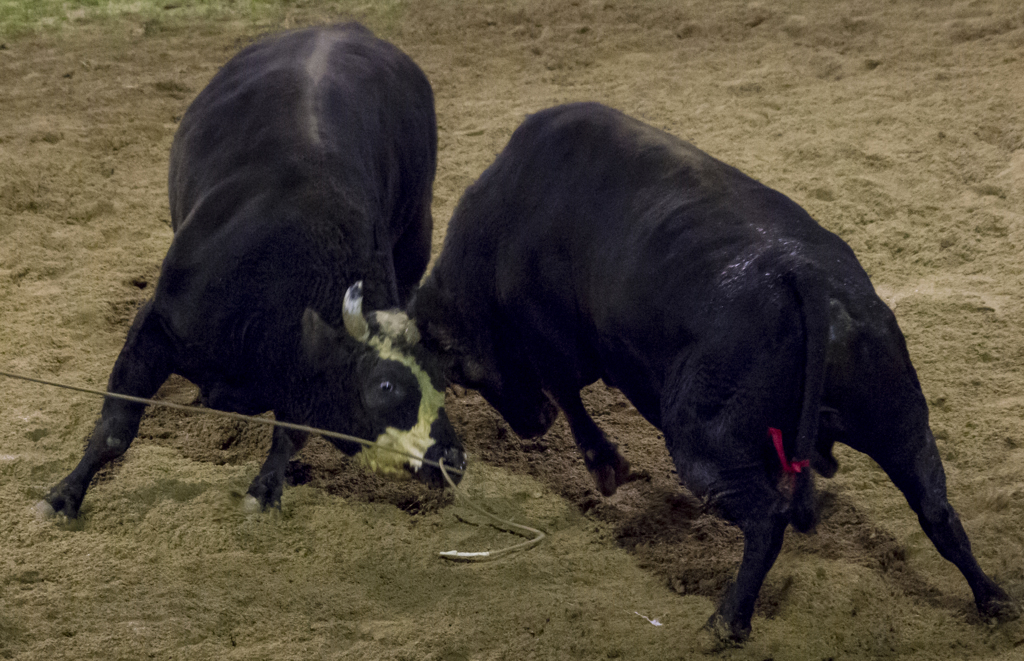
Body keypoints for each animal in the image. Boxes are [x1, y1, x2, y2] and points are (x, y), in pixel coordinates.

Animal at [411, 102, 1019, 642]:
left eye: (461, 371)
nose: (529, 426)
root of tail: (807, 276)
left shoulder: (554, 339)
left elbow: (567, 391)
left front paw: (607, 466)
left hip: (704, 442)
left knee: (767, 521)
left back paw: (726, 622)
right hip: (899, 421)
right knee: (937, 511)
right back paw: (994, 601)